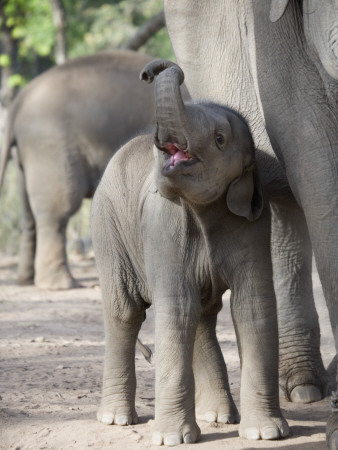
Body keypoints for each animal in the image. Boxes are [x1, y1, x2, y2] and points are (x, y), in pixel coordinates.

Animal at [0, 48, 156, 288]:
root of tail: (18, 103)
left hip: (26, 157)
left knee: (28, 213)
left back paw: (25, 280)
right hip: (50, 146)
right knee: (58, 210)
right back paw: (61, 285)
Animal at [91, 60, 290, 446]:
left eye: (219, 139)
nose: (151, 70)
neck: (205, 210)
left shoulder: (254, 226)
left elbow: (252, 304)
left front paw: (266, 434)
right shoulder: (162, 225)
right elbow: (177, 305)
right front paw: (171, 440)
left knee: (202, 312)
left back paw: (219, 416)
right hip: (108, 227)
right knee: (125, 312)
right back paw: (116, 420)